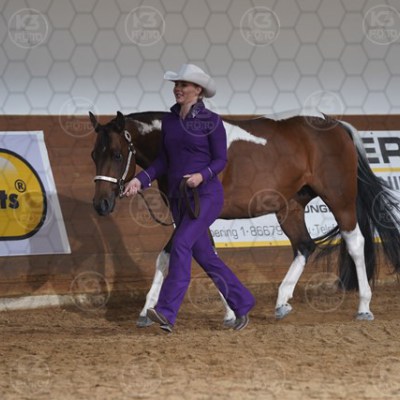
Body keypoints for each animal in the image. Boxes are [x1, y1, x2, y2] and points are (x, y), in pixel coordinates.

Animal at [89, 110, 400, 326]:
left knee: (355, 243)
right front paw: (147, 311)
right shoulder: (189, 217)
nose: (101, 204)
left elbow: (193, 256)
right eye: (94, 154)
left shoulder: (197, 215)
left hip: (339, 198)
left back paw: (363, 307)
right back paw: (282, 301)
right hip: (289, 207)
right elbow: (189, 256)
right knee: (304, 246)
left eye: (117, 155)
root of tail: (335, 124)